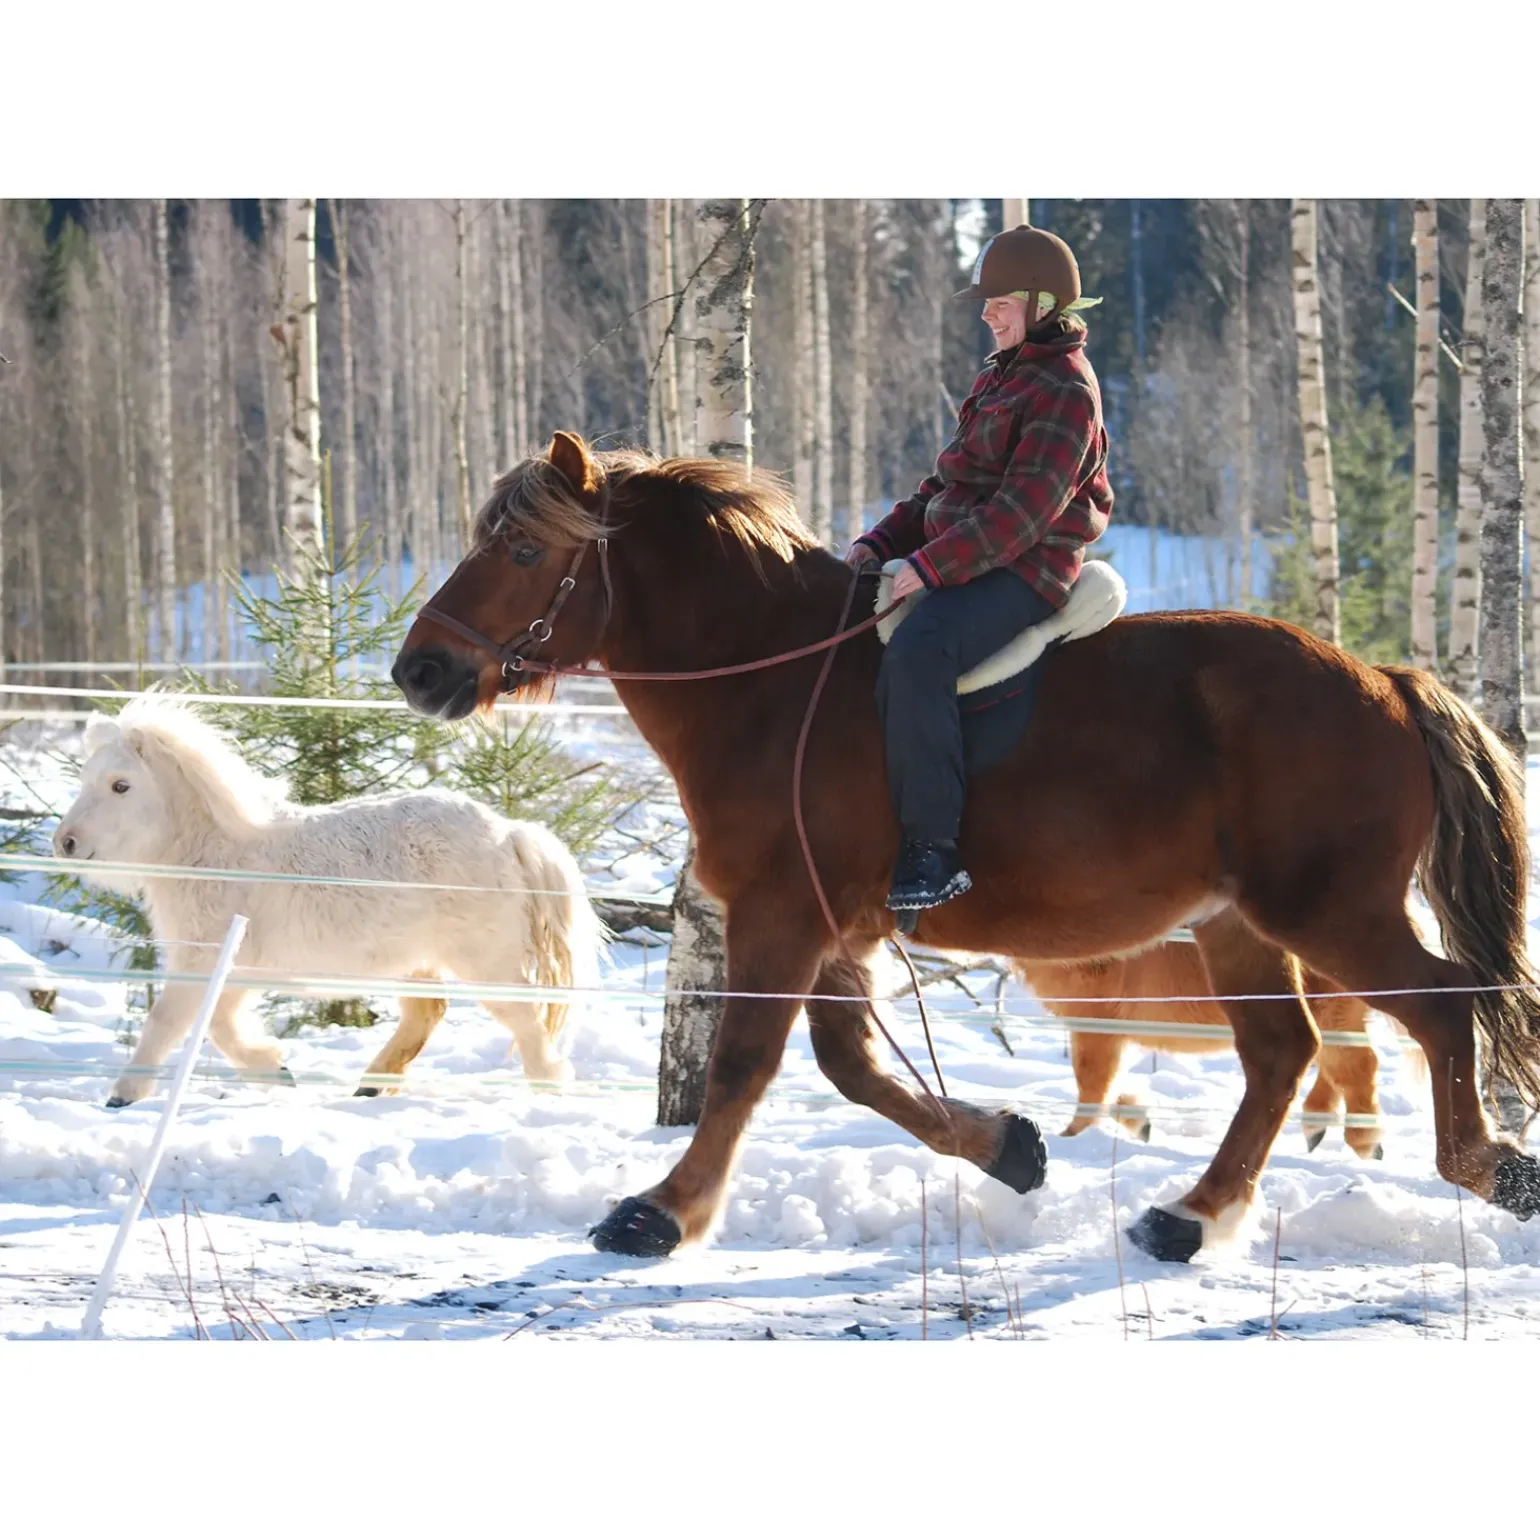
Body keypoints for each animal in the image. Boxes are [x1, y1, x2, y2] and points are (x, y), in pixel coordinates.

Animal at [53, 697, 603, 1105]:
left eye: (120, 786)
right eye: (84, 780)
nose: (65, 843)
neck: (215, 851)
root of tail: (510, 833)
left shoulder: (203, 961)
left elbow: (168, 1020)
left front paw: (123, 1095)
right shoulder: (233, 970)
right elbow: (220, 1026)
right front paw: (274, 1070)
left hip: (484, 961)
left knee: (526, 1020)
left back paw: (547, 1089)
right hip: (416, 961)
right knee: (427, 1014)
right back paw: (371, 1085)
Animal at [1014, 945, 1387, 1158]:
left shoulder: (1095, 1020)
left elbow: (1092, 1081)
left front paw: (1070, 1138)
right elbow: (1108, 1084)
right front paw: (1139, 1122)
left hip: (1331, 1009)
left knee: (1358, 1065)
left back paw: (1364, 1142)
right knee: (1341, 1066)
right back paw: (1318, 1129)